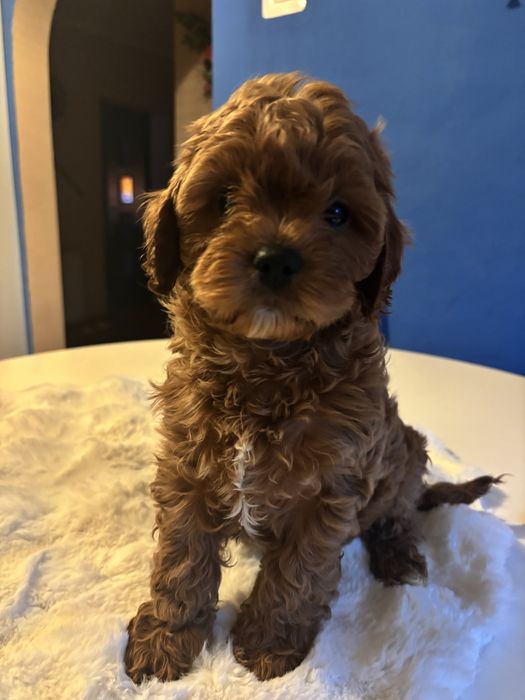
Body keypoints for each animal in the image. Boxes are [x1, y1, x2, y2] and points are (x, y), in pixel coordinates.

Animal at [124, 72, 500, 683]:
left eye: (339, 214)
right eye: (224, 200)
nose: (276, 258)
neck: (266, 365)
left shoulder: (328, 491)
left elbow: (296, 575)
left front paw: (269, 644)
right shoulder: (187, 466)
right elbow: (181, 560)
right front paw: (167, 639)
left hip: (405, 454)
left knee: (398, 512)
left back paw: (398, 556)